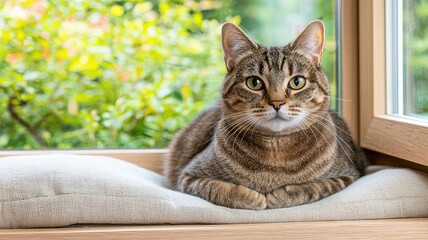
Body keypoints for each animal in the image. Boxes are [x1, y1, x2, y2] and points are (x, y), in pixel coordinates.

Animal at [162, 19, 366, 209]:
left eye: (297, 82)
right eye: (254, 83)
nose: (277, 102)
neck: (275, 150)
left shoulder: (347, 175)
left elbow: (311, 188)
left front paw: (278, 196)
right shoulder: (189, 175)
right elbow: (220, 189)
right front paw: (254, 197)